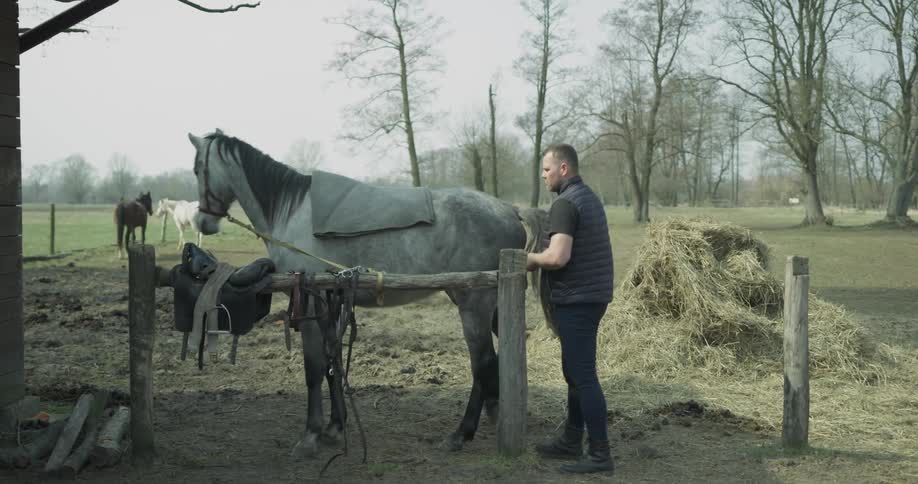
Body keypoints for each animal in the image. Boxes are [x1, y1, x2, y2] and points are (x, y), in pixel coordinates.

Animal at [187, 129, 548, 458]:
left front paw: (311, 435)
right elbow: (332, 363)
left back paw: (460, 434)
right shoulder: (331, 300)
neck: (291, 212)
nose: (203, 222)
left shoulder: (310, 301)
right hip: (485, 303)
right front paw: (335, 426)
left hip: (474, 304)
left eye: (197, 169)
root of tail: (510, 209)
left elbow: (314, 367)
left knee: (482, 362)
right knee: (497, 360)